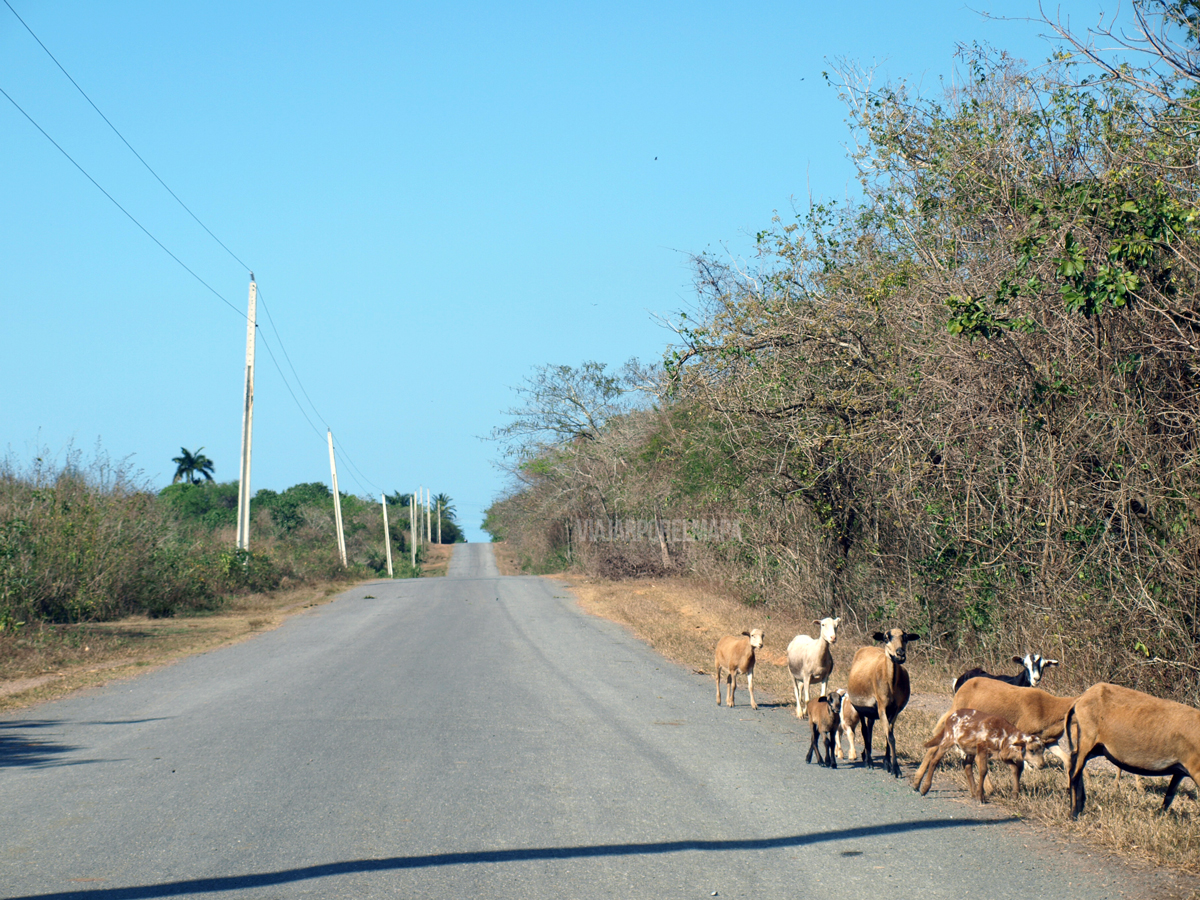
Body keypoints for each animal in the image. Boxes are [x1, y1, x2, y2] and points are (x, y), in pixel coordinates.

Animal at [844, 628, 916, 777]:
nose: (900, 653)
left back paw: (866, 755)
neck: (892, 682)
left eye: (906, 638)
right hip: (860, 708)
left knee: (870, 728)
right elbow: (890, 736)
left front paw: (888, 764)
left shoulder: (895, 710)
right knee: (864, 730)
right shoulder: (882, 707)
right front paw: (896, 769)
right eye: (886, 637)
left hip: (872, 710)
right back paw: (869, 761)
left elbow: (889, 734)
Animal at [912, 710, 1046, 801]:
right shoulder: (982, 749)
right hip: (948, 739)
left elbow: (1014, 769)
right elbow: (983, 770)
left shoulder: (1001, 754)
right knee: (935, 760)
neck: (1004, 736)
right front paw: (981, 796)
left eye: (1043, 750)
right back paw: (924, 788)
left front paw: (1015, 795)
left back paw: (973, 793)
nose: (1042, 765)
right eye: (1031, 750)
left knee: (966, 766)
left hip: (968, 749)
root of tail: (951, 716)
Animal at [1070, 686, 1200, 820]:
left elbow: (1168, 797)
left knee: (1074, 763)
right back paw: (1074, 813)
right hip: (1087, 740)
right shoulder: (1196, 770)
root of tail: (1084, 696)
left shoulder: (1180, 771)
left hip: (1097, 748)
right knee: (1075, 773)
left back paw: (1080, 806)